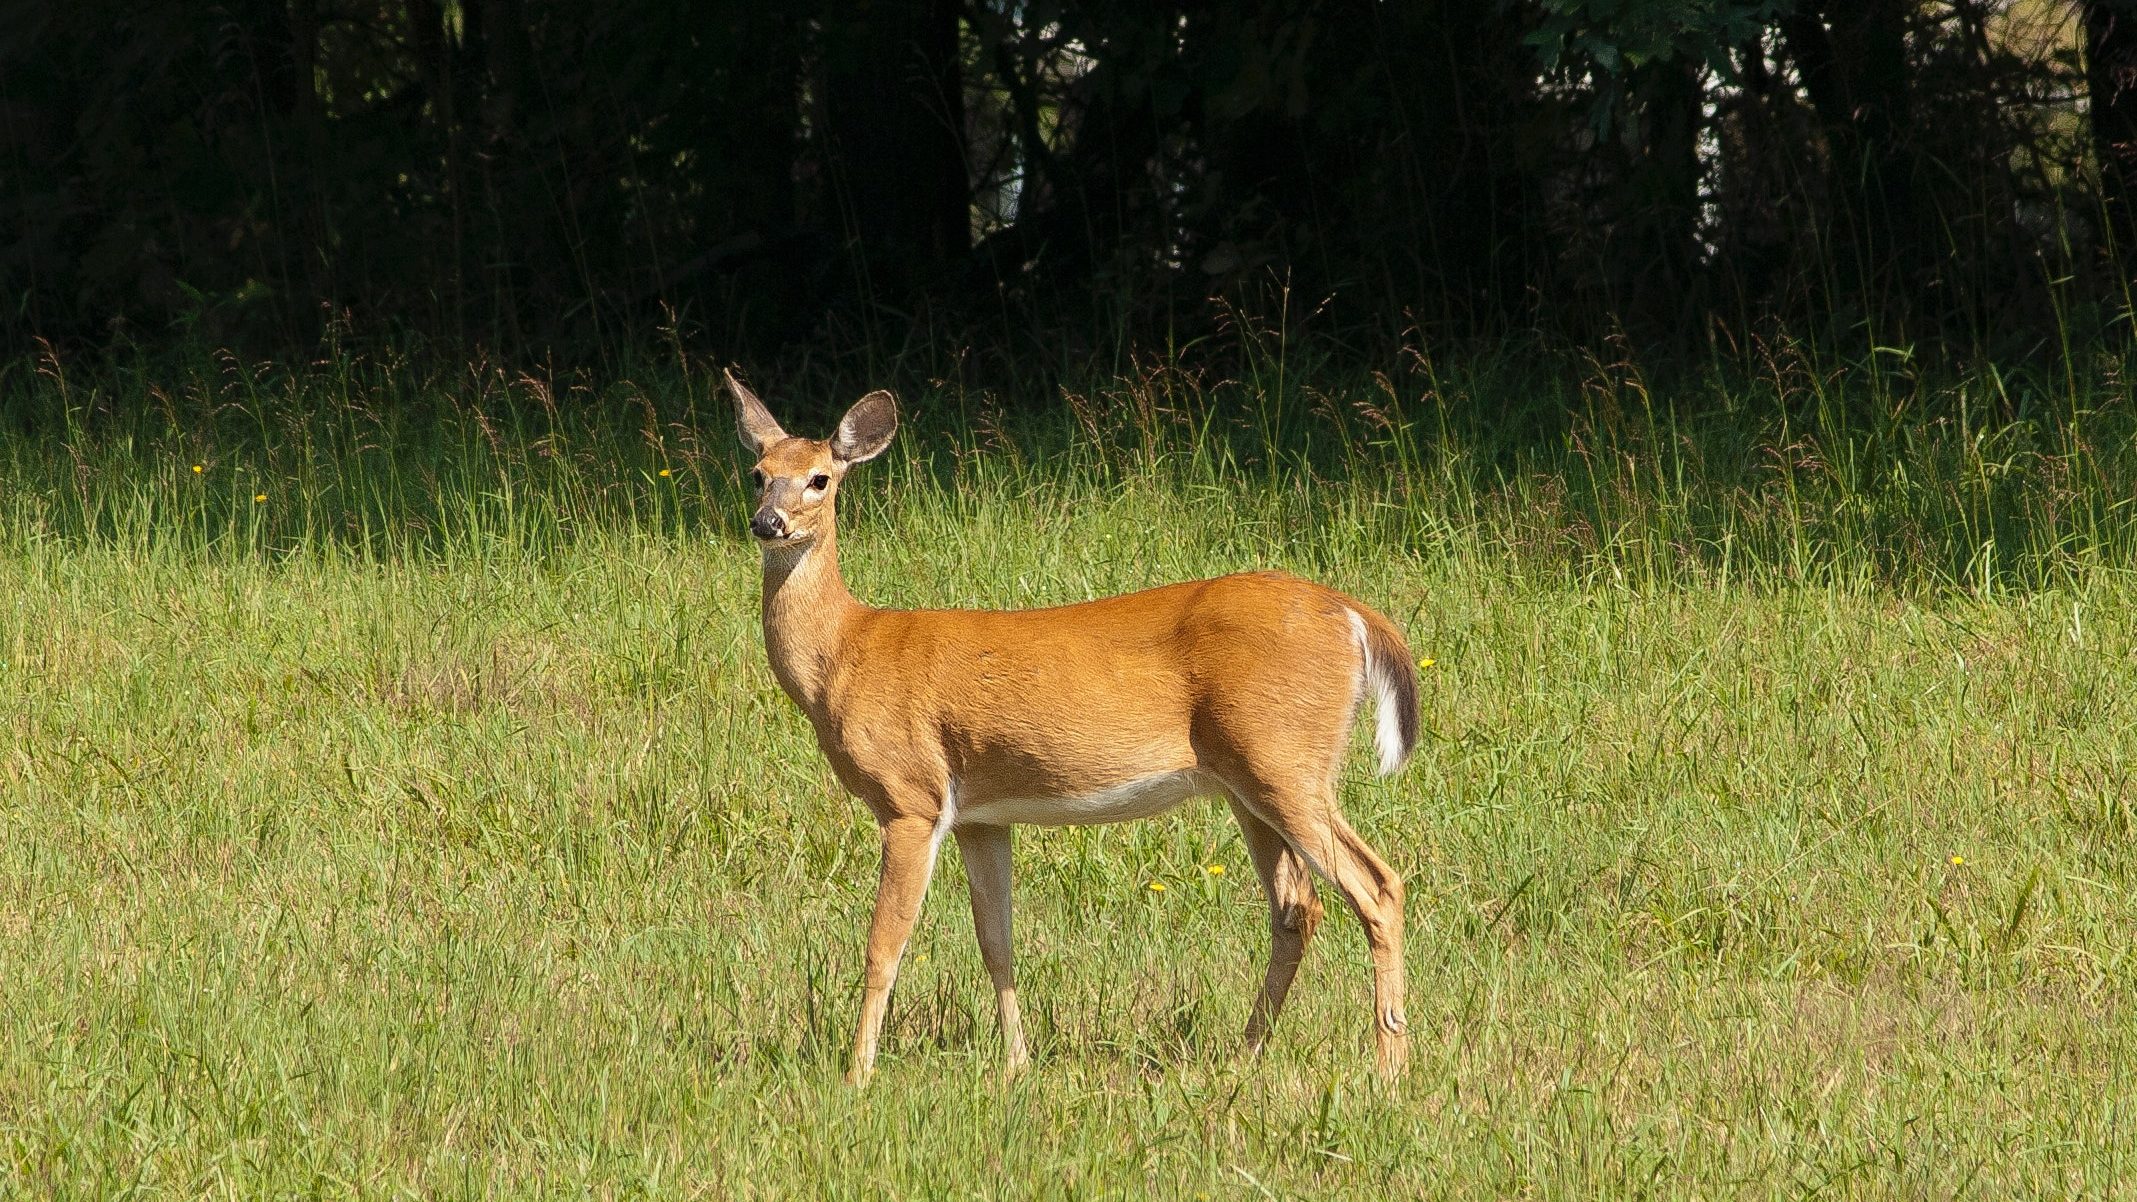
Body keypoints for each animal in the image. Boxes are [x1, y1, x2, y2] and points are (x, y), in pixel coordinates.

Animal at [730, 370, 1418, 1082]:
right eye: (757, 473)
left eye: (819, 478)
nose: (767, 522)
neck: (846, 653)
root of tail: (1353, 615)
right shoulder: (981, 815)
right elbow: (996, 940)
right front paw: (1016, 1064)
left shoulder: (910, 797)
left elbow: (883, 945)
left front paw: (857, 1073)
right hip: (1247, 781)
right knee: (1296, 907)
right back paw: (1244, 1054)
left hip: (1285, 758)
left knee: (1378, 886)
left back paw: (1389, 1065)